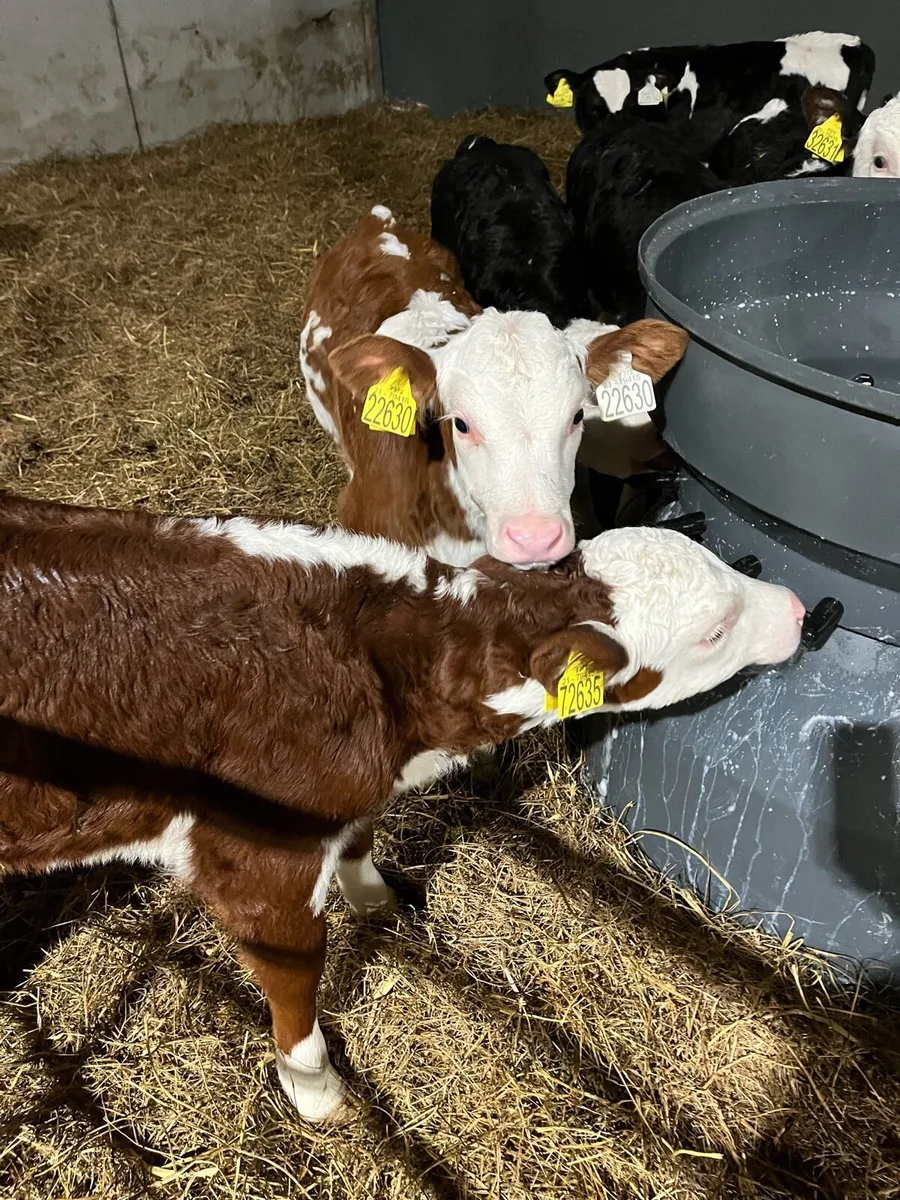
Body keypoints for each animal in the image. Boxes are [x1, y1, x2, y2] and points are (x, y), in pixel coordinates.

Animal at [0, 492, 807, 1122]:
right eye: (713, 632)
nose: (800, 609)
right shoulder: (261, 865)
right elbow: (296, 994)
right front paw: (320, 1097)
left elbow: (362, 841)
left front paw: (379, 900)